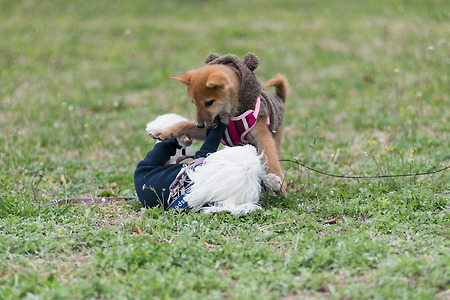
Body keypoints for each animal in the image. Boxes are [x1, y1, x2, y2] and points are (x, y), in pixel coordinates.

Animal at [149, 53, 286, 195]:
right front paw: (163, 132)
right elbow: (183, 124)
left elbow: (271, 159)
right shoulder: (208, 128)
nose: (199, 125)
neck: (232, 115)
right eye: (193, 102)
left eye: (209, 102)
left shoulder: (261, 134)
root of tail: (279, 98)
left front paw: (280, 186)